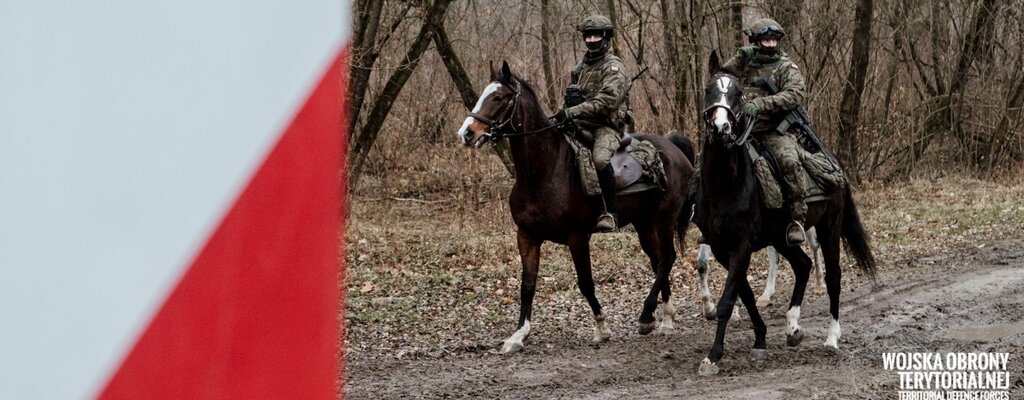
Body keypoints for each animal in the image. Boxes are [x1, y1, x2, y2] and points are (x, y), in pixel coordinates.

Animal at [458, 60, 692, 353]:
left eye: (498, 97)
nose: (466, 133)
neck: (543, 171)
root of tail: (672, 146)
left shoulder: (577, 237)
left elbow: (585, 283)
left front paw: (601, 328)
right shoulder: (527, 236)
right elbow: (527, 285)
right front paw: (518, 335)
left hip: (664, 218)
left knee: (667, 258)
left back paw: (647, 314)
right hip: (644, 223)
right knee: (658, 260)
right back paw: (665, 319)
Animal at [692, 51, 876, 378]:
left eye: (738, 94)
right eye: (709, 89)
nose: (720, 127)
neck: (725, 186)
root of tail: (834, 162)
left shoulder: (741, 246)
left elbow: (728, 300)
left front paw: (713, 356)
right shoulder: (721, 248)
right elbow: (744, 292)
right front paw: (760, 339)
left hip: (829, 228)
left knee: (833, 277)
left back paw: (831, 338)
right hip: (781, 237)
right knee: (803, 265)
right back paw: (792, 328)